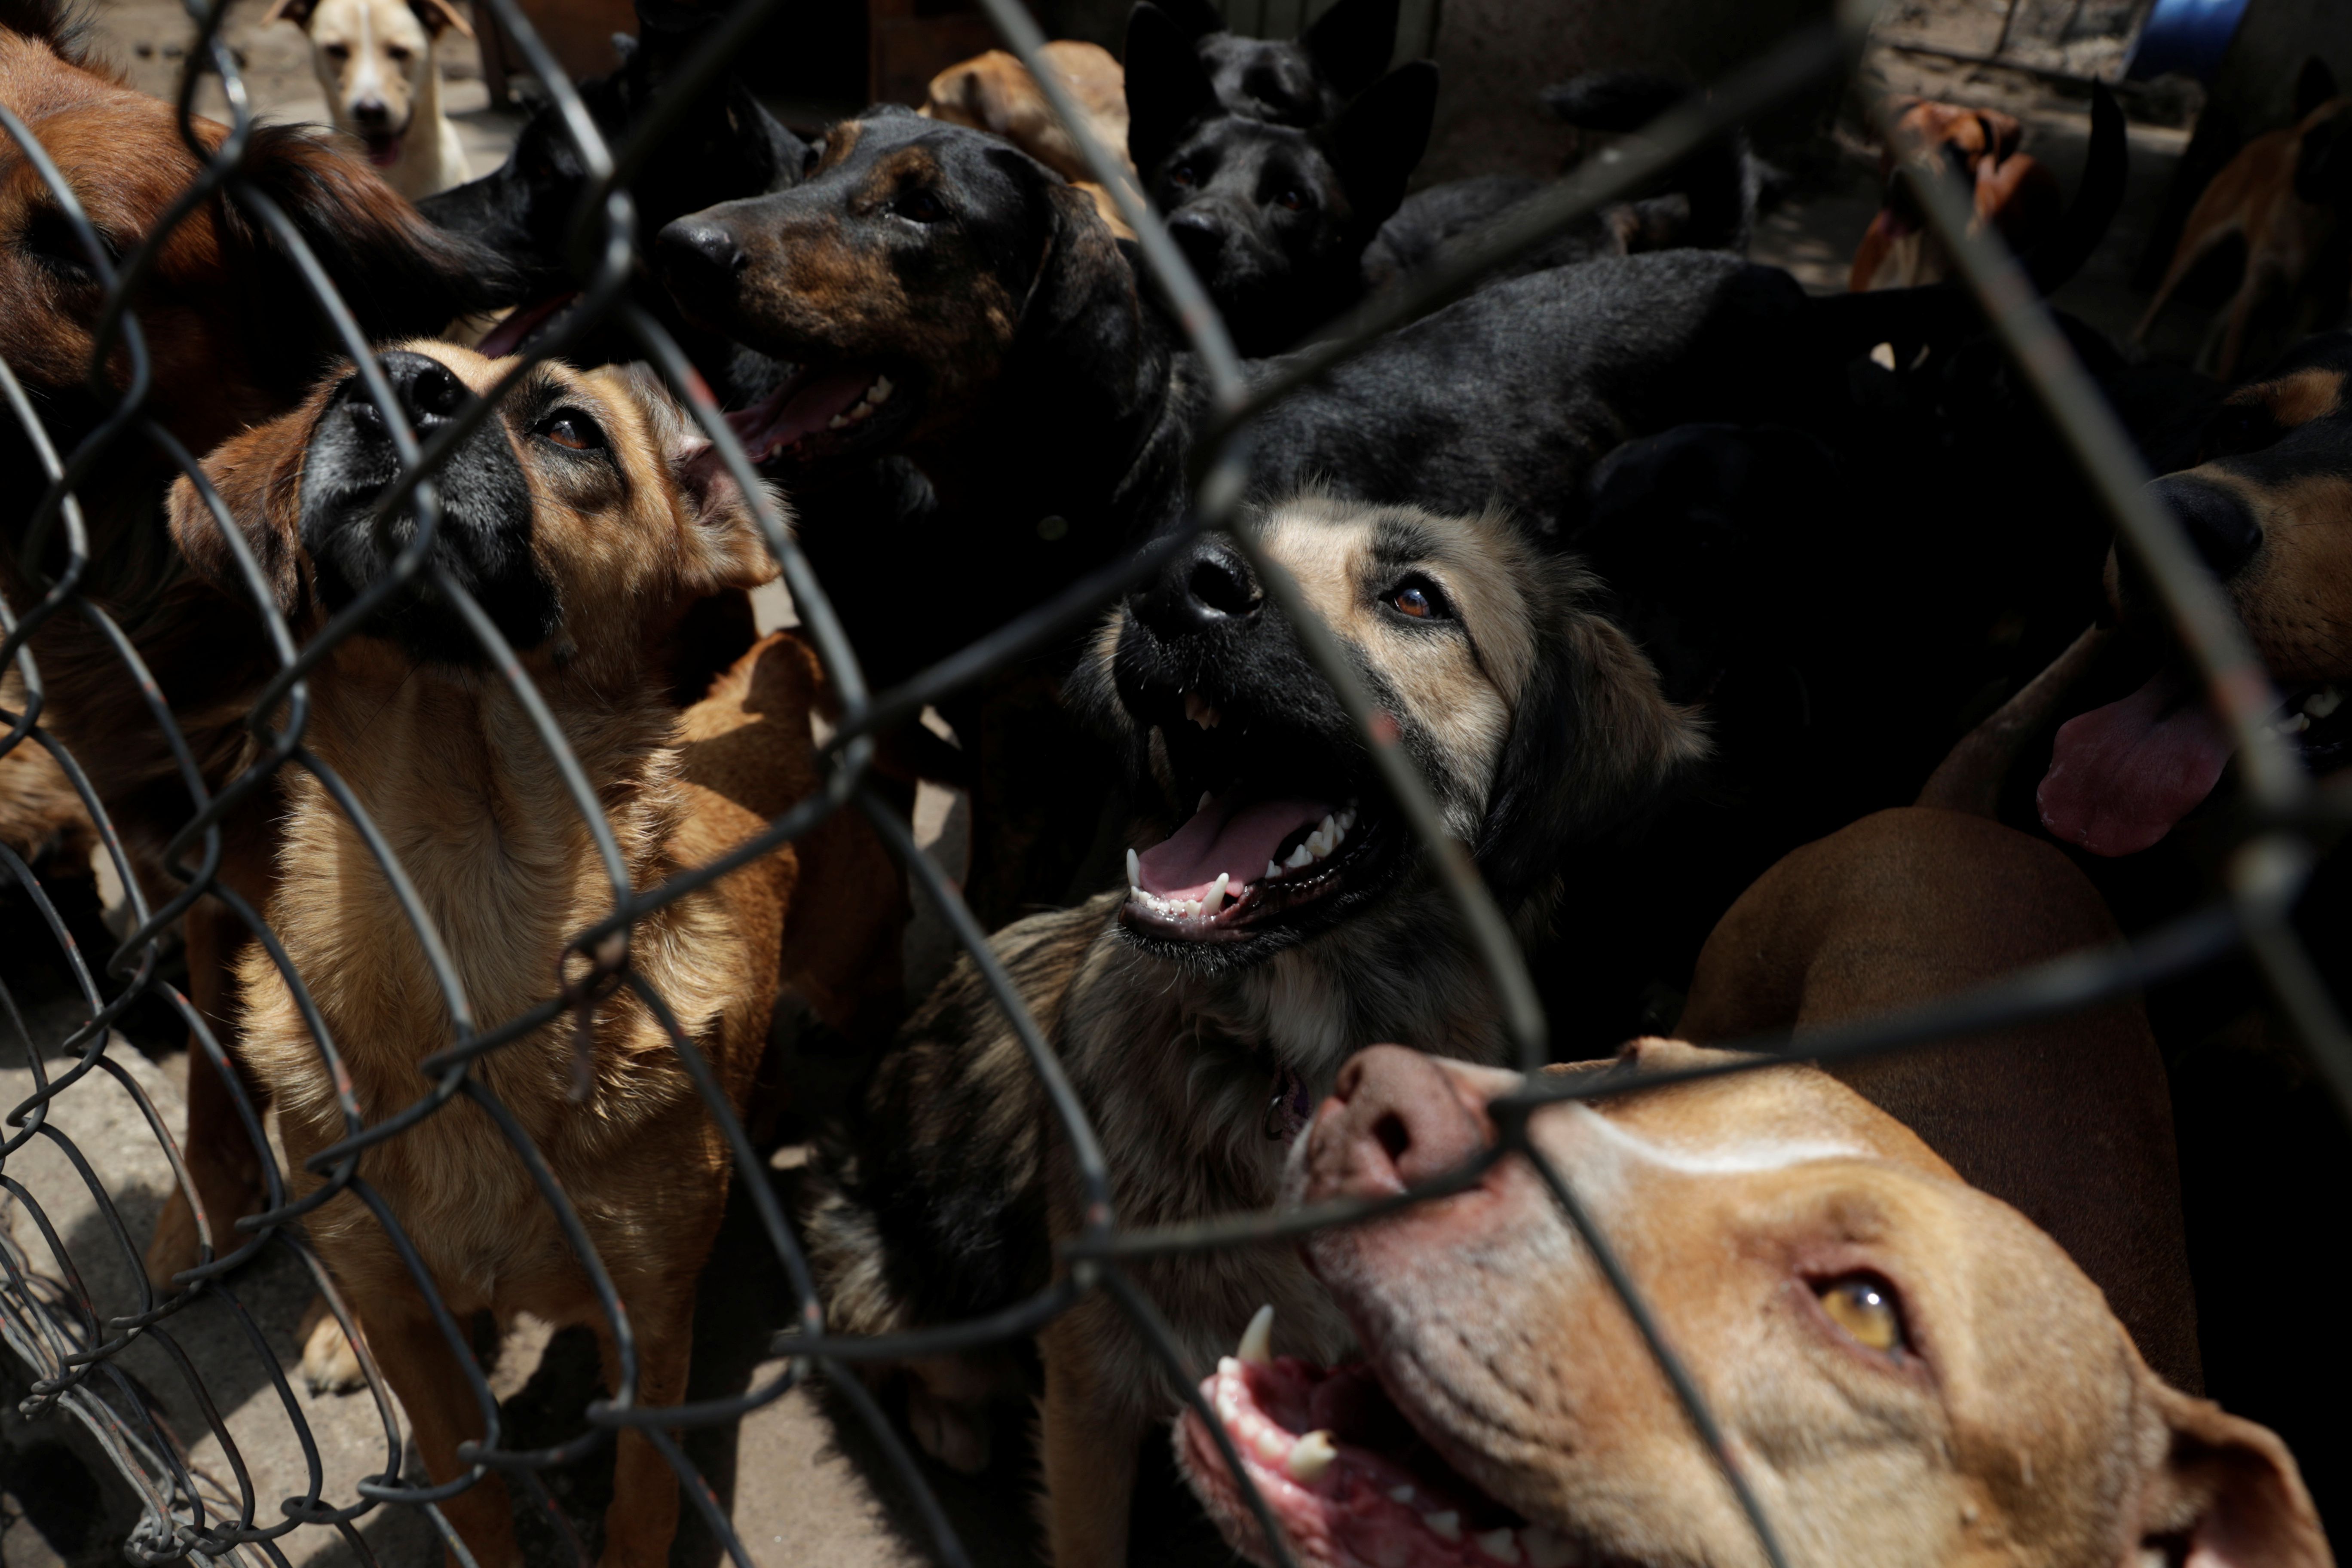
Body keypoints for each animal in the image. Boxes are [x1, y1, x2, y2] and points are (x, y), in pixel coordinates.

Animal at [161, 343, 903, 1568]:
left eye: (568, 428)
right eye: (342, 387)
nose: (395, 387)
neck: (463, 894)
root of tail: (782, 671)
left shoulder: (649, 1338)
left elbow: (643, 1506)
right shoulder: (417, 1330)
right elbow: (470, 1495)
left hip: (851, 977)